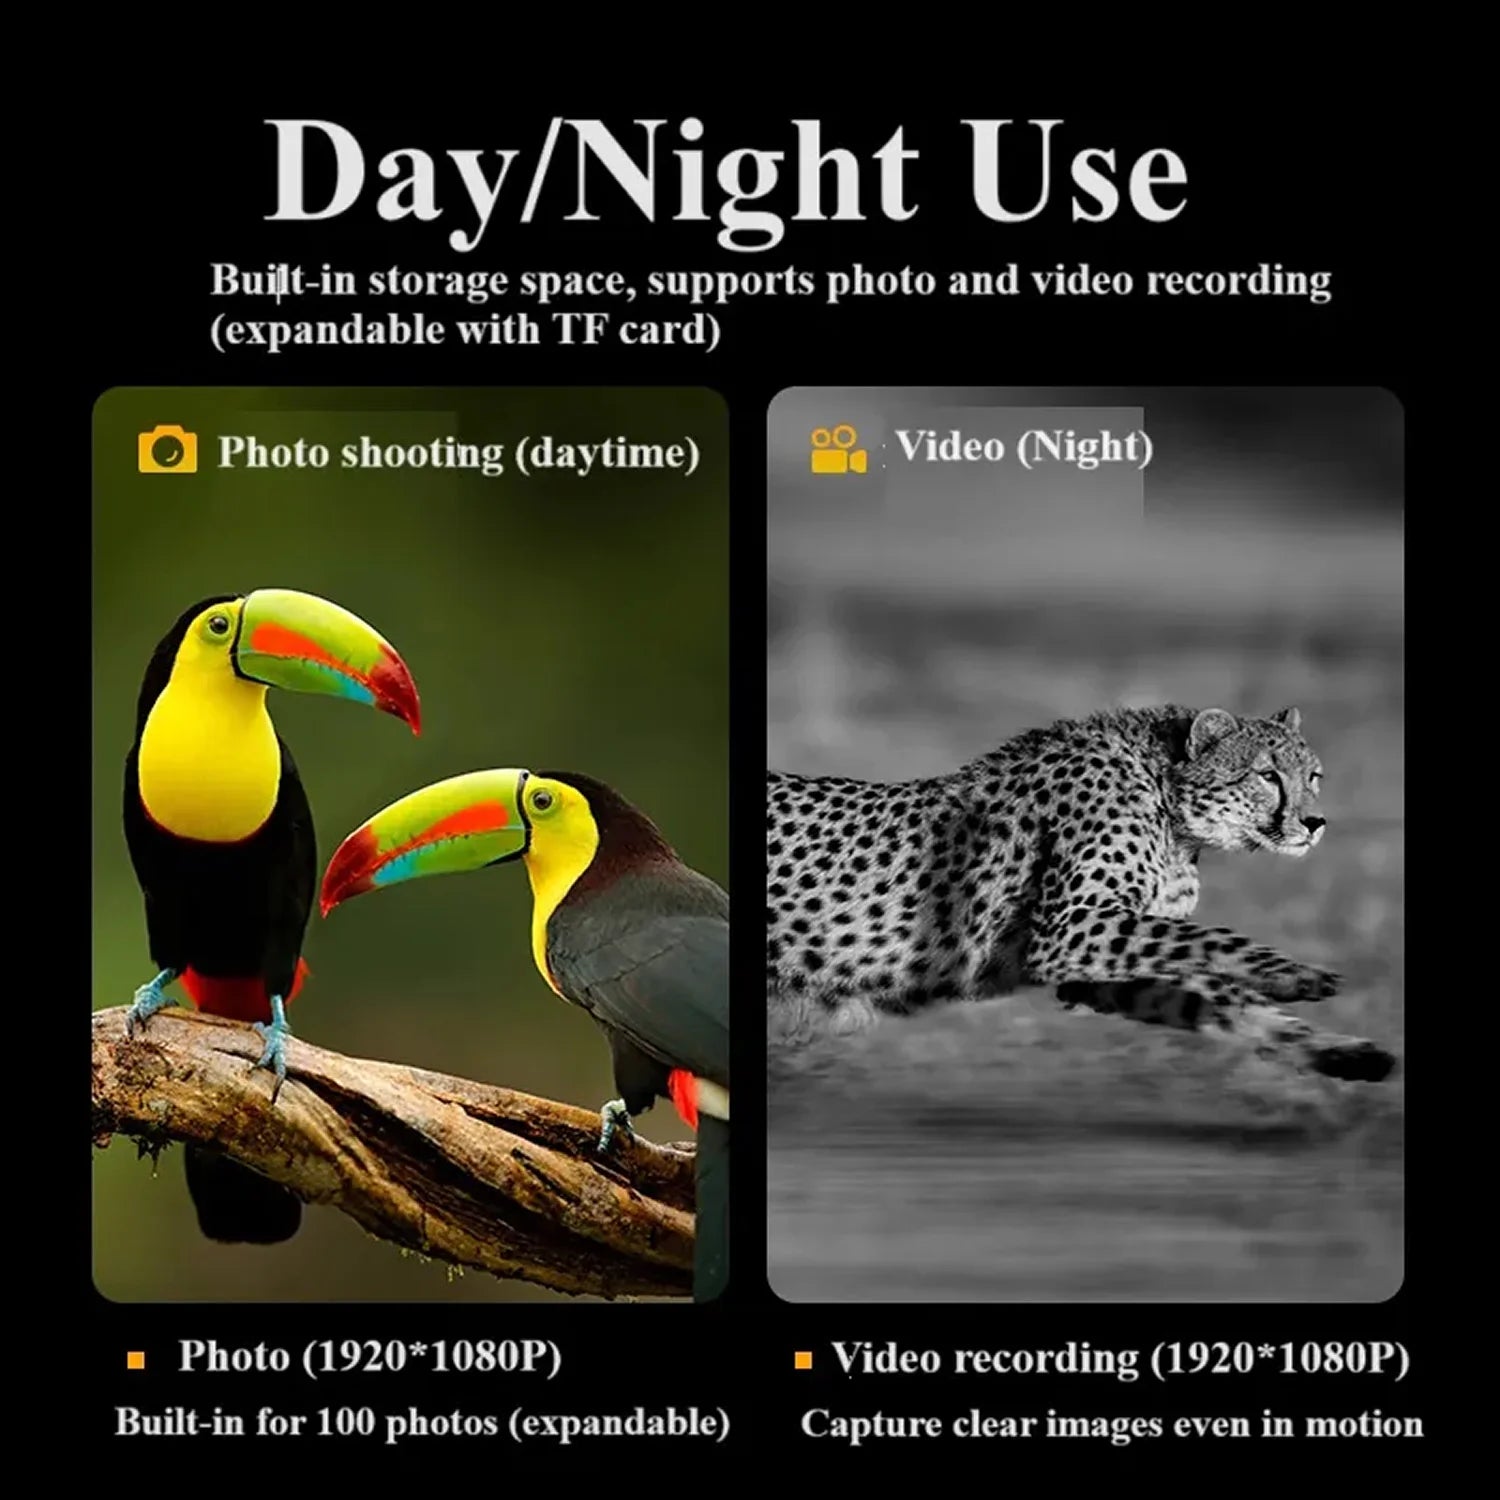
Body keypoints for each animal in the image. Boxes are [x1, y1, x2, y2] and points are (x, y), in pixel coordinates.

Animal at [766, 703, 1397, 1082]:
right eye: (1267, 775)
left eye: (1313, 775)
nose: (1315, 822)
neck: (1171, 804)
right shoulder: (1072, 929)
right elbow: (1217, 940)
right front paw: (1293, 973)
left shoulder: (1098, 961)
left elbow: (1217, 994)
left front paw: (1343, 1051)